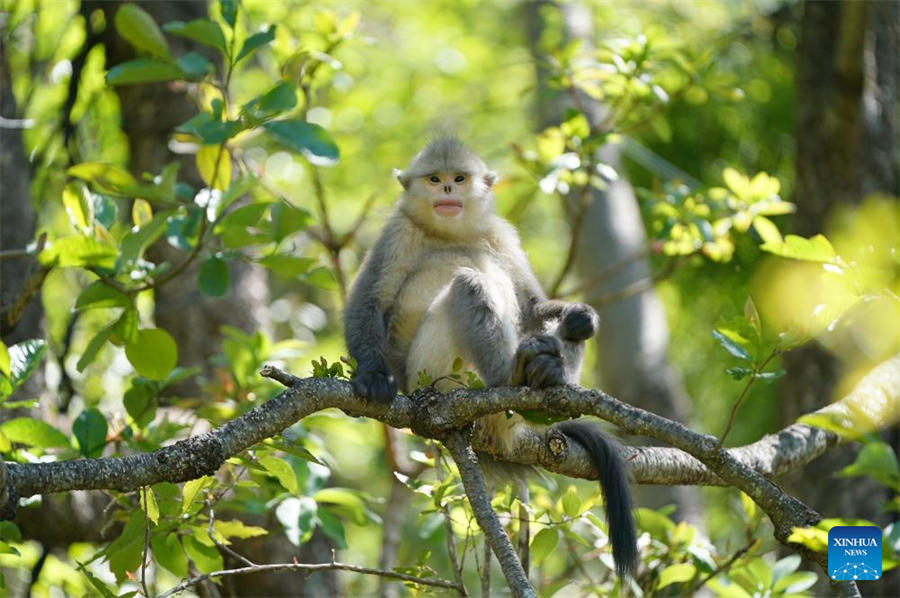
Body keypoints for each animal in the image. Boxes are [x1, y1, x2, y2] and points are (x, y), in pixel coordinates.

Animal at [344, 138, 640, 580]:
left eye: (459, 178)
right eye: (434, 179)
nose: (448, 190)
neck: (449, 234)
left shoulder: (501, 234)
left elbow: (533, 306)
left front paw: (581, 316)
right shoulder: (396, 232)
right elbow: (369, 301)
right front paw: (373, 376)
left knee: (558, 329)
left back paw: (549, 374)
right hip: (435, 373)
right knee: (470, 282)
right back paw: (511, 374)